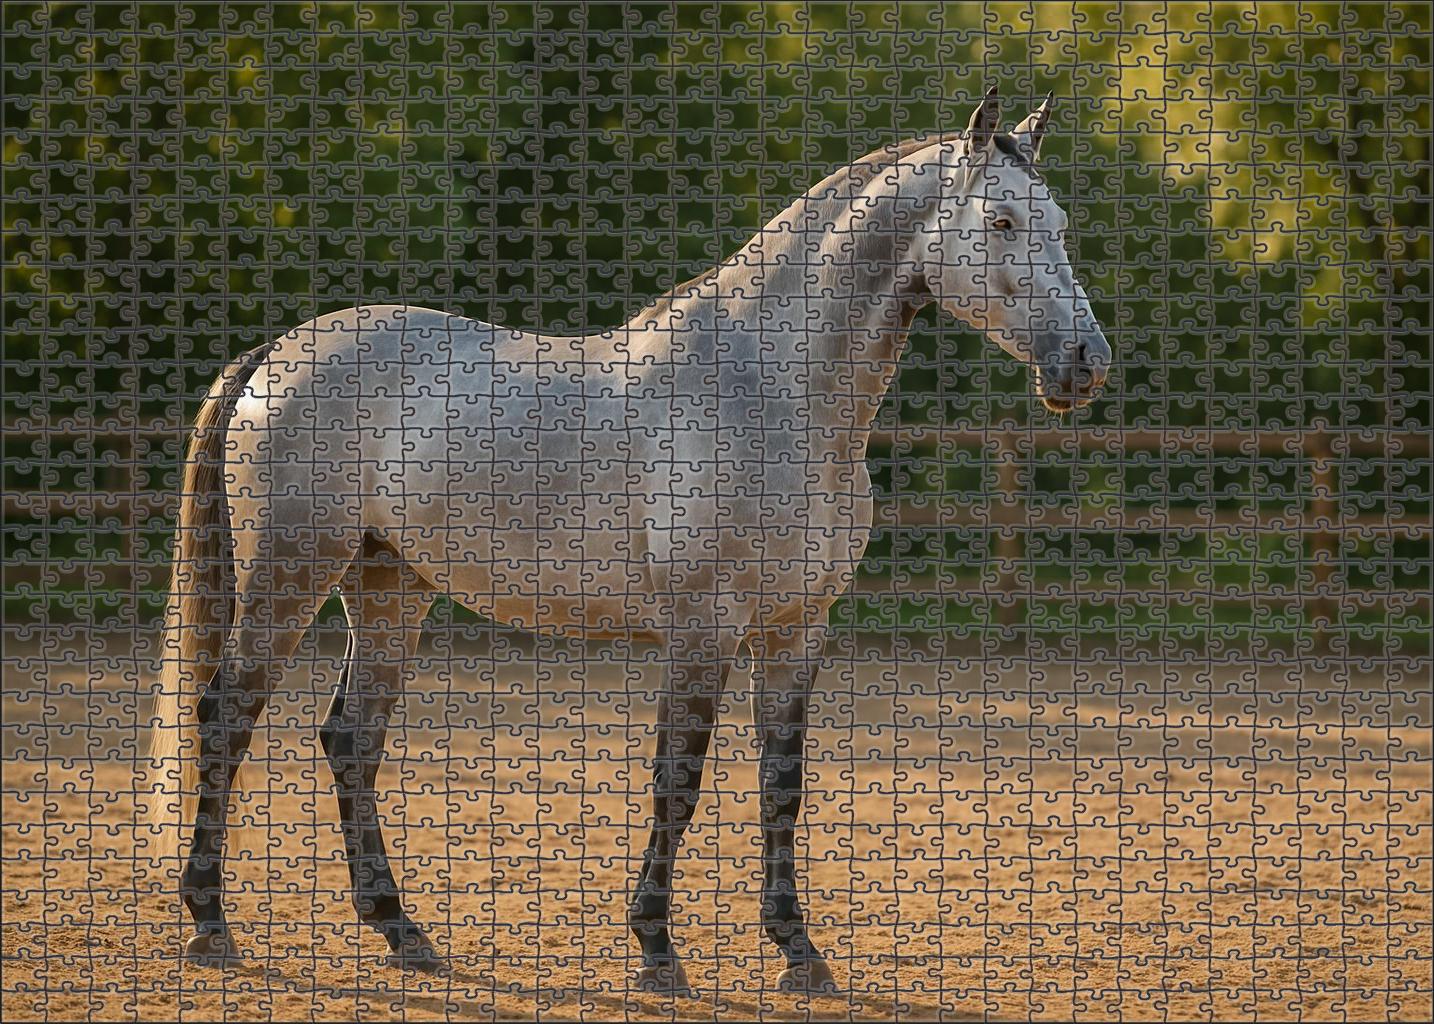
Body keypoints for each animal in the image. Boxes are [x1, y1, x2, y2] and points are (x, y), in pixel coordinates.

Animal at [149, 86, 1110, 995]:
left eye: (1061, 224)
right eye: (1002, 221)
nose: (1085, 362)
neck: (775, 390)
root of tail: (274, 358)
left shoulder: (795, 631)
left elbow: (783, 784)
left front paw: (798, 953)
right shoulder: (703, 628)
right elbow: (677, 778)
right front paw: (655, 949)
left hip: (389, 587)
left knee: (352, 739)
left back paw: (401, 932)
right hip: (292, 573)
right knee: (227, 714)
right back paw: (209, 925)